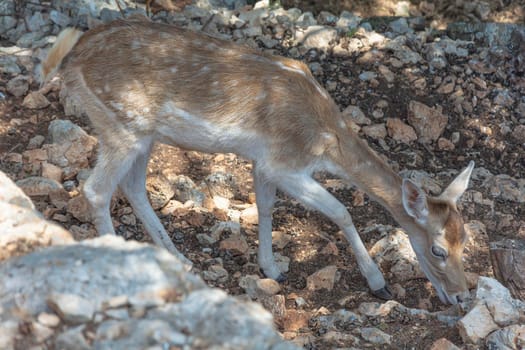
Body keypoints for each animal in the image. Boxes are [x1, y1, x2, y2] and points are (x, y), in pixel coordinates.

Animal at [41, 15, 474, 304]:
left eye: (465, 239)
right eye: (438, 249)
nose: (462, 295)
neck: (326, 138)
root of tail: (68, 59)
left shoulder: (263, 162)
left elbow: (265, 207)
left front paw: (272, 268)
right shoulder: (286, 163)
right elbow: (341, 211)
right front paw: (376, 281)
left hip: (141, 135)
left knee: (132, 186)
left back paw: (177, 259)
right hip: (120, 124)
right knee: (97, 189)